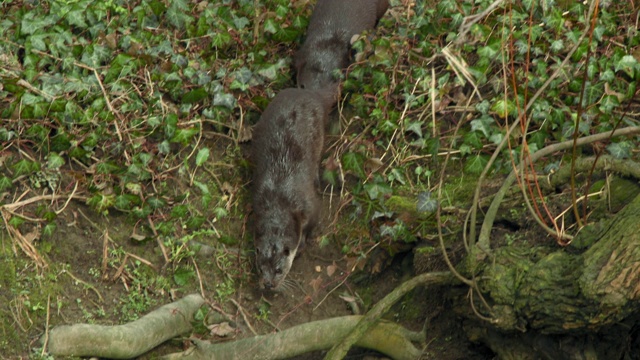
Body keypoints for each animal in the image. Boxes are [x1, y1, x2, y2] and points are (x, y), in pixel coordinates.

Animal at [251, 87, 336, 290]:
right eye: (260, 268)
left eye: (278, 270)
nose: (268, 284)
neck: (280, 198)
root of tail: (310, 93)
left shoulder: (311, 208)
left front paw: (303, 245)